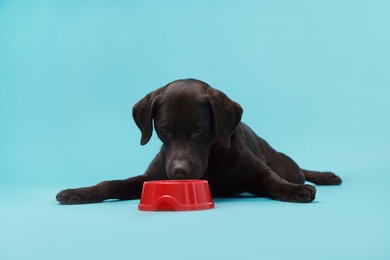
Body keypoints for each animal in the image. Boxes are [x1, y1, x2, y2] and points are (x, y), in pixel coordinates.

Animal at [55, 78, 342, 204]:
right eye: (164, 129)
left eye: (199, 130)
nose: (179, 171)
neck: (211, 166)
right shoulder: (150, 177)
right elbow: (112, 183)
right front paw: (79, 192)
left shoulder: (258, 174)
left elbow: (273, 181)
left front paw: (295, 191)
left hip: (285, 165)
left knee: (298, 171)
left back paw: (324, 177)